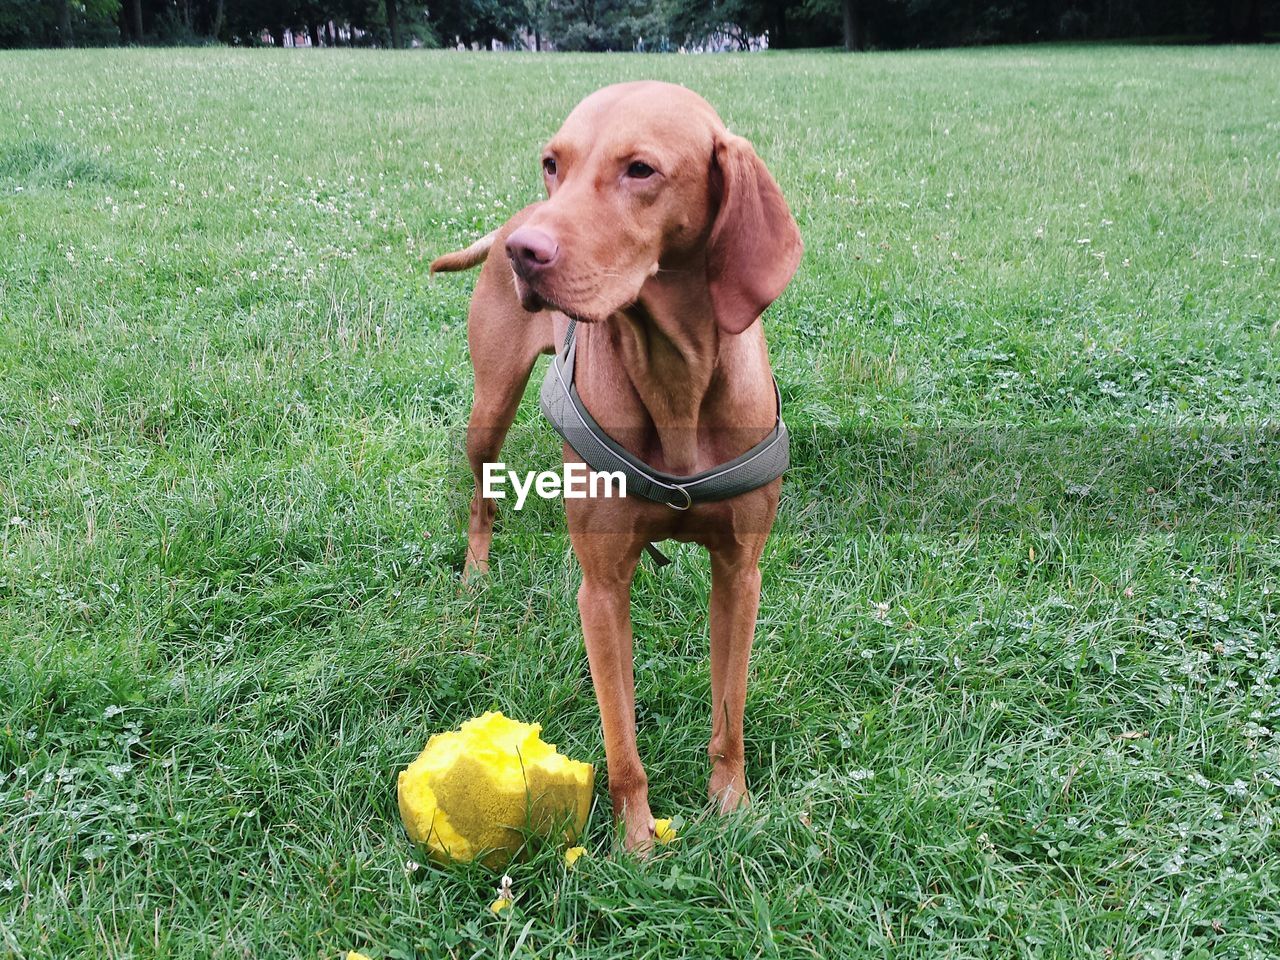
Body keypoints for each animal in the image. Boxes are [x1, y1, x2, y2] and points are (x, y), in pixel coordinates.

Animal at [435, 80, 803, 849]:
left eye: (640, 169)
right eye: (553, 163)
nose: (521, 253)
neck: (675, 379)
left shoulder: (741, 572)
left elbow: (730, 714)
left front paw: (732, 807)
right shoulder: (602, 591)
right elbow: (621, 739)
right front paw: (637, 842)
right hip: (490, 406)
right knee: (482, 491)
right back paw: (477, 571)